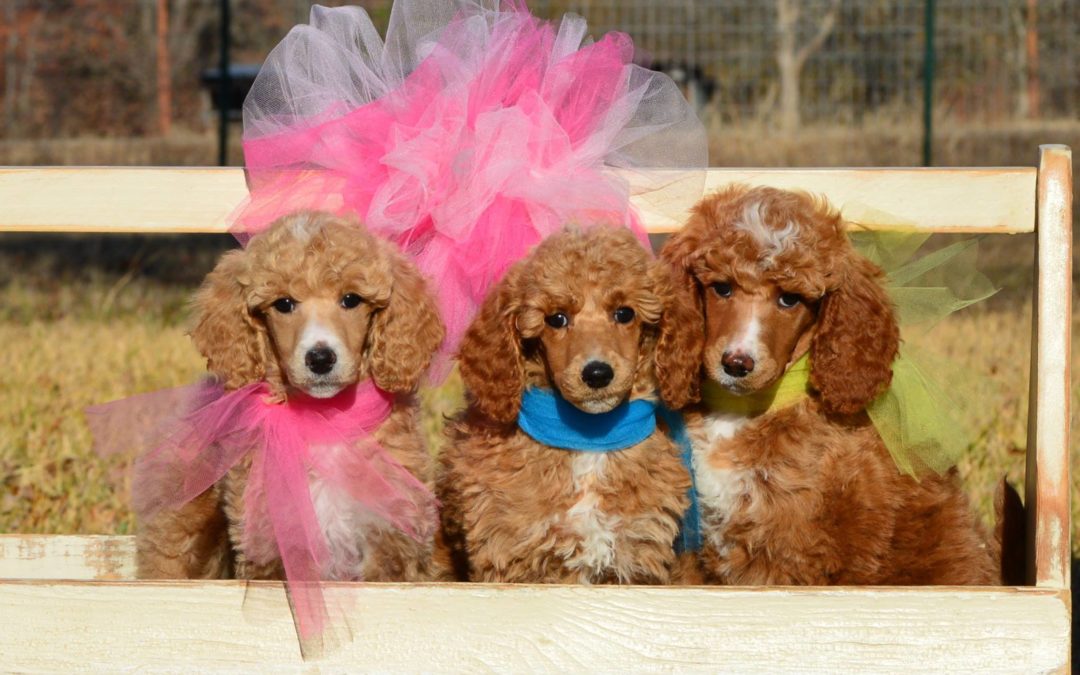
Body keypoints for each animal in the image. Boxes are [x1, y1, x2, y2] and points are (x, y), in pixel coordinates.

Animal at [434, 227, 704, 583]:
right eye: (556, 319)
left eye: (624, 313)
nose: (597, 373)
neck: (588, 437)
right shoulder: (510, 555)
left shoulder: (638, 553)